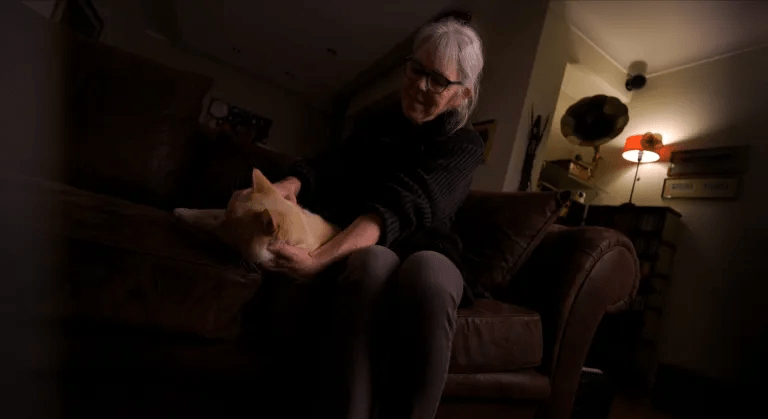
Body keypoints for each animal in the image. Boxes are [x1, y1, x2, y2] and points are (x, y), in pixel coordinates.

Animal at [174, 168, 339, 266]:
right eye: (227, 210)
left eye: (235, 230)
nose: (225, 220)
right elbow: (208, 213)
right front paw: (182, 211)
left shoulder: (226, 232)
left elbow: (209, 222)